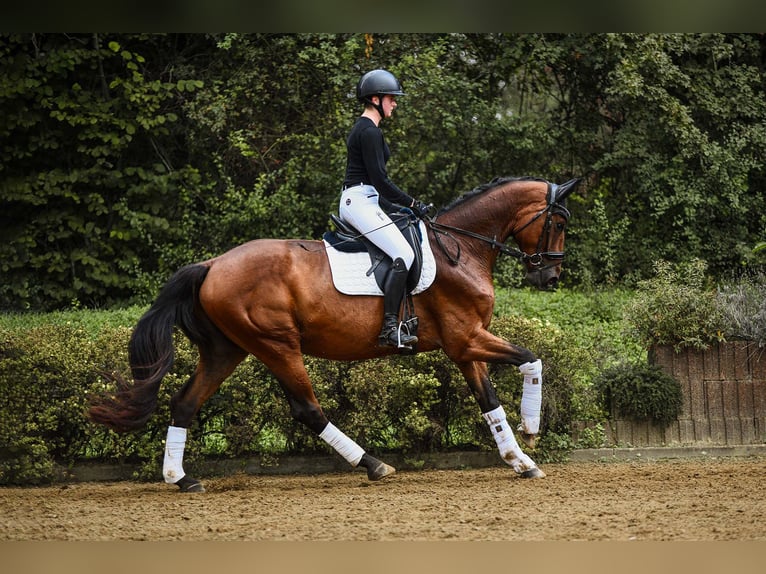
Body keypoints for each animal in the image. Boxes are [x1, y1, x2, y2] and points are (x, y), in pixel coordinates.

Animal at [89, 175, 580, 492]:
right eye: (558, 223)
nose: (550, 276)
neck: (462, 248)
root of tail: (211, 265)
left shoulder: (465, 346)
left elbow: (489, 401)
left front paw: (520, 460)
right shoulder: (467, 338)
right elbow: (532, 358)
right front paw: (532, 430)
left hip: (227, 350)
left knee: (185, 403)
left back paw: (181, 478)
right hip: (277, 345)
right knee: (307, 409)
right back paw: (373, 465)